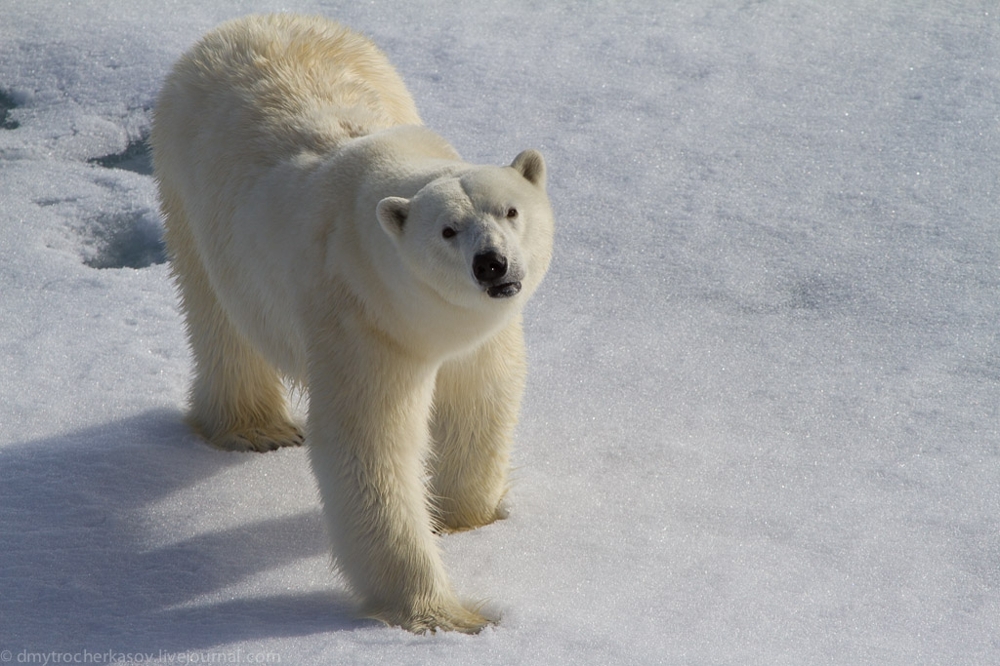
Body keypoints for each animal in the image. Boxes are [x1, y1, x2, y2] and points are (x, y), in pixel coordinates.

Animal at [150, 13, 556, 632]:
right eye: (447, 230)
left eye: (511, 210)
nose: (493, 264)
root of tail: (243, 22)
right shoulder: (360, 317)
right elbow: (368, 445)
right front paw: (444, 613)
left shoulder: (476, 331)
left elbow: (479, 396)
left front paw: (466, 519)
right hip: (186, 185)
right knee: (218, 316)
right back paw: (255, 428)